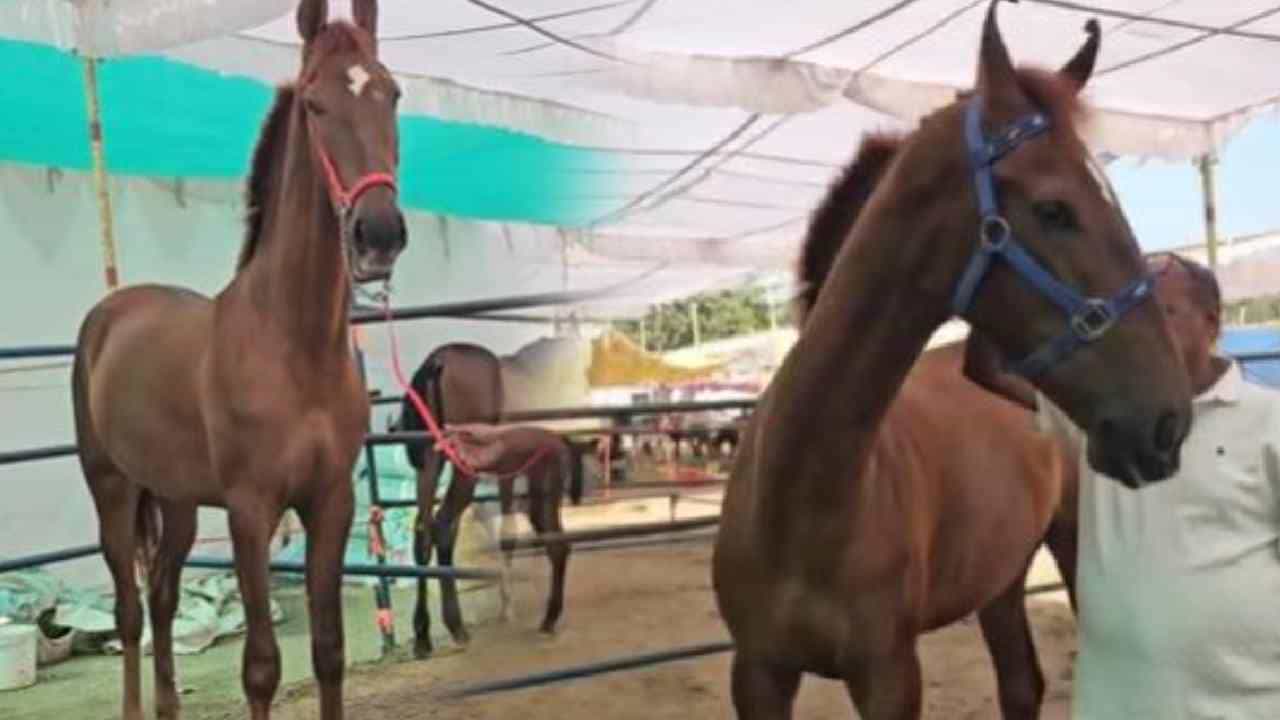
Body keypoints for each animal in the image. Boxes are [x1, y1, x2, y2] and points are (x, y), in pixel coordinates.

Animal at [70, 2, 404, 719]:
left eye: (392, 94)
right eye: (315, 104)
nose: (379, 234)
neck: (293, 345)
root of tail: (109, 313)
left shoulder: (331, 501)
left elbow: (330, 651)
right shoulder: (251, 511)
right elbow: (261, 667)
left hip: (178, 501)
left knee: (163, 598)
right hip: (112, 490)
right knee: (130, 611)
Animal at [397, 342, 584, 657]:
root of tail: (436, 362)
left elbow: (507, 536)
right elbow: (509, 535)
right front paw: (507, 608)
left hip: (431, 462)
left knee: (423, 533)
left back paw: (423, 636)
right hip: (463, 469)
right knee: (443, 527)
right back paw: (456, 627)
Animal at [712, 3, 1191, 719]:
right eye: (1055, 209)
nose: (1168, 422)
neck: (802, 499)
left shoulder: (889, 674)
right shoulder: (758, 673)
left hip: (1069, 550)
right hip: (999, 579)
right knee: (1021, 685)